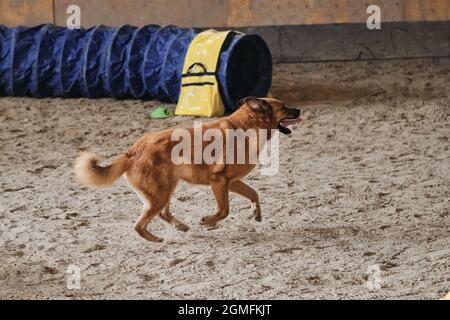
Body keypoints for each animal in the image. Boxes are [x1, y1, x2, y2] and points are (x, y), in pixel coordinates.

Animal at [75, 97, 302, 242]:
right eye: (283, 106)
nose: (300, 110)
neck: (248, 126)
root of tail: (132, 152)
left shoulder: (232, 182)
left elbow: (254, 194)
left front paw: (256, 213)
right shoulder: (219, 182)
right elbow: (224, 210)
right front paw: (208, 221)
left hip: (167, 188)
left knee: (163, 214)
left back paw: (180, 226)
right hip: (160, 193)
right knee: (140, 225)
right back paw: (157, 239)